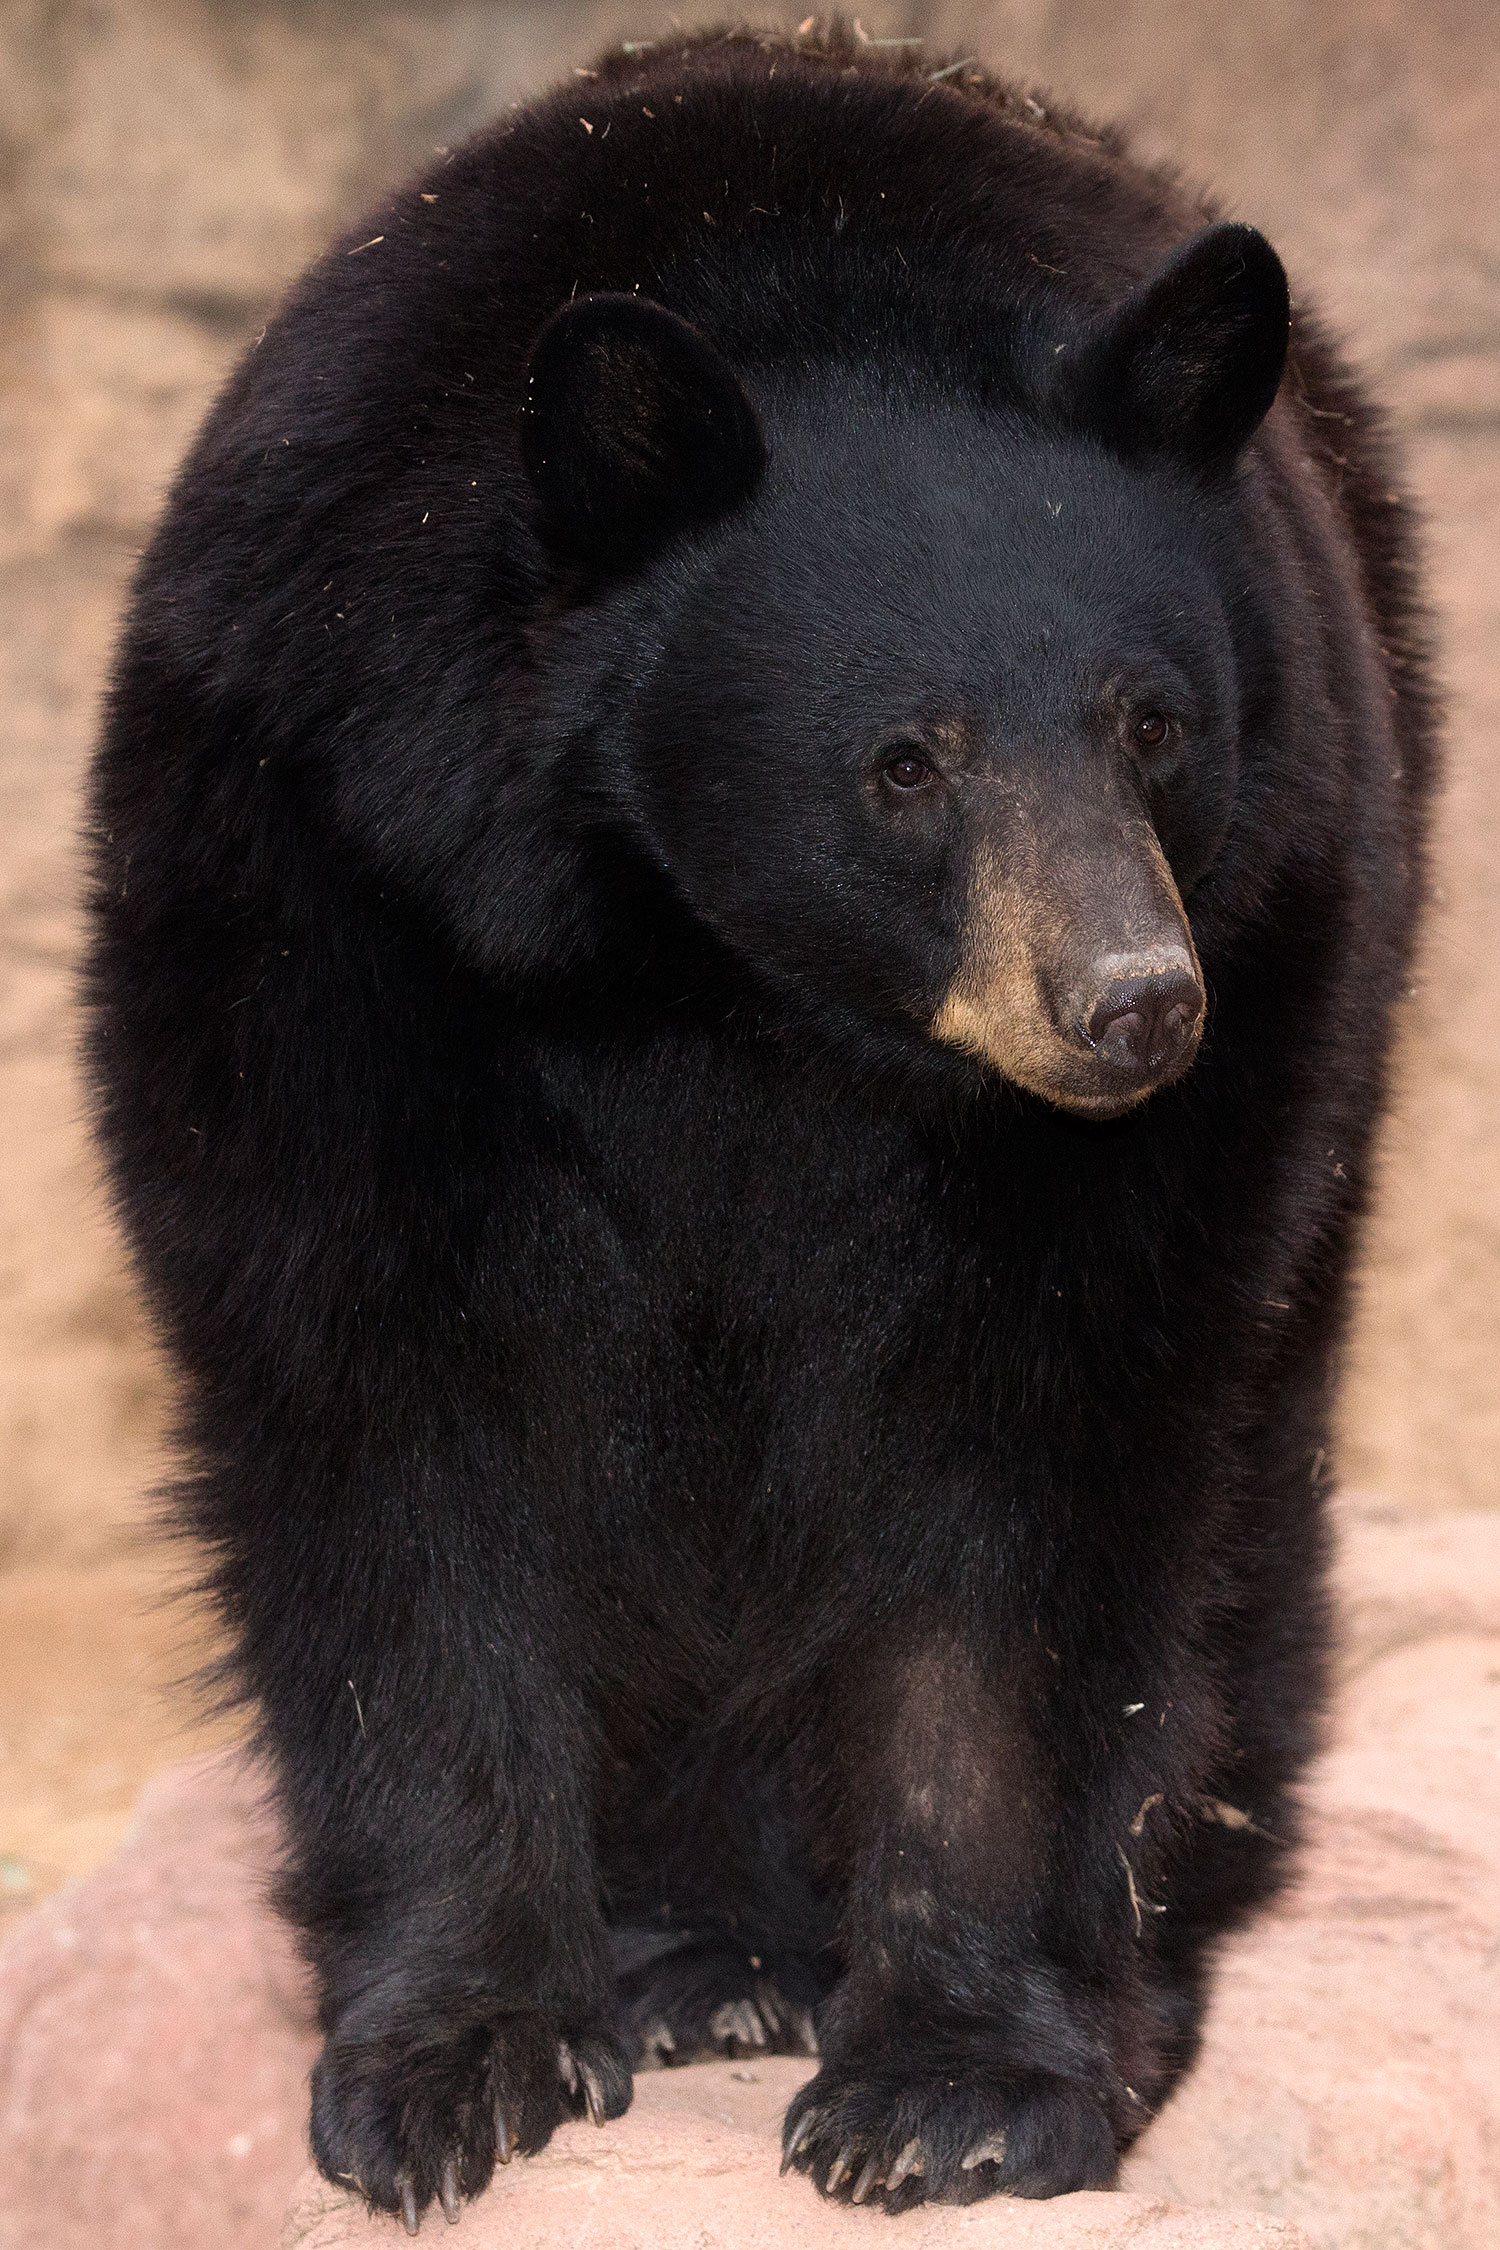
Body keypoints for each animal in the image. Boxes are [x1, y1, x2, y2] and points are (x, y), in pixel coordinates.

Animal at [84, 20, 1435, 2230]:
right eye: (903, 763)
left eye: (1154, 721)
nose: (1133, 1006)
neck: (731, 986)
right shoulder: (320, 879)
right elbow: (381, 1420)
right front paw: (453, 2064)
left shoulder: (1259, 916)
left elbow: (1051, 1471)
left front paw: (955, 2087)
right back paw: (695, 1951)